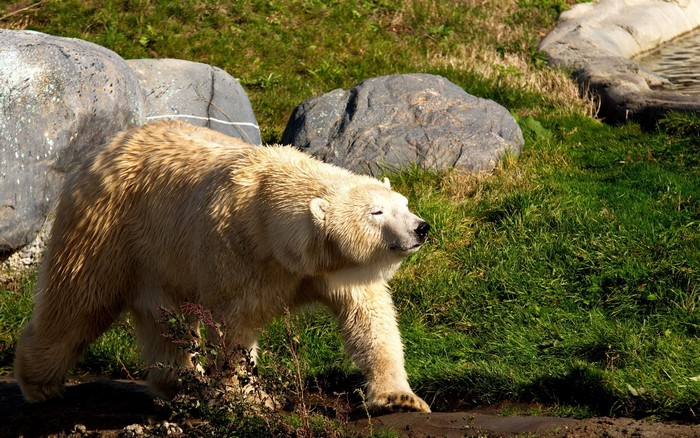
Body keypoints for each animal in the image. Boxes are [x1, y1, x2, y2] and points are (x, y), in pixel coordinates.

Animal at [14, 120, 431, 413]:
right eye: (376, 212)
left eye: (403, 203)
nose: (421, 228)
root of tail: (105, 148)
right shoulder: (237, 254)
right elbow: (234, 328)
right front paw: (251, 398)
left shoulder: (334, 270)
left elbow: (370, 320)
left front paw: (399, 398)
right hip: (107, 227)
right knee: (78, 300)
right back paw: (39, 383)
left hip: (159, 256)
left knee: (164, 322)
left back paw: (181, 383)